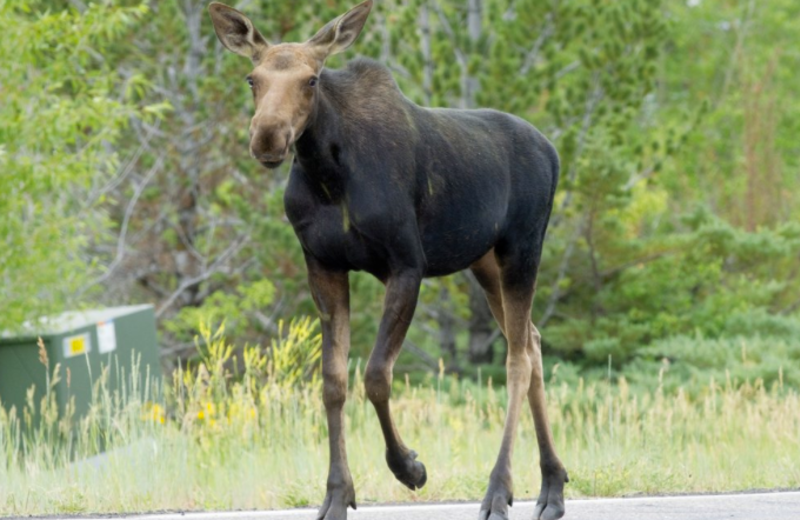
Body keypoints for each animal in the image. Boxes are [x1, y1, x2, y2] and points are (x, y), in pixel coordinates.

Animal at [208, 2, 568, 516]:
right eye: (252, 78)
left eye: (312, 79)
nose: (268, 137)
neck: (328, 175)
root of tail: (553, 151)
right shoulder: (323, 265)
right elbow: (333, 382)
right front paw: (336, 495)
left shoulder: (406, 264)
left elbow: (377, 374)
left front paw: (409, 467)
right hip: (484, 262)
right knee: (533, 343)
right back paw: (552, 487)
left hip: (522, 247)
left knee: (518, 358)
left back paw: (499, 490)